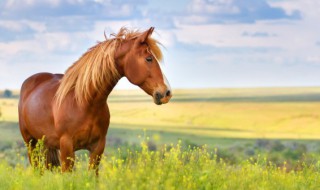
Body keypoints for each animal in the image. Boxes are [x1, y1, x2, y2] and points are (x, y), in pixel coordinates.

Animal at [18, 26, 172, 174]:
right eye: (149, 58)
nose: (167, 93)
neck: (84, 103)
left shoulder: (98, 148)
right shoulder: (66, 148)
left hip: (44, 144)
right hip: (31, 144)